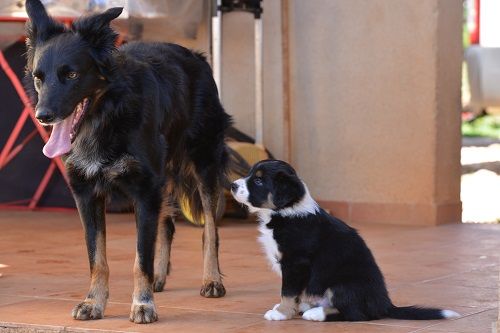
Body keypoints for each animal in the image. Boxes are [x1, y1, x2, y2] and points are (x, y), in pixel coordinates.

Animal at [24, 0, 231, 322]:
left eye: (71, 75)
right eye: (38, 77)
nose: (42, 116)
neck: (107, 115)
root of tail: (196, 56)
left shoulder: (144, 191)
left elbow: (140, 258)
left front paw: (142, 303)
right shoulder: (87, 195)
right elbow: (97, 258)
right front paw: (94, 302)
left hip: (204, 163)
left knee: (210, 228)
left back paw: (211, 279)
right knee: (166, 225)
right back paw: (160, 276)